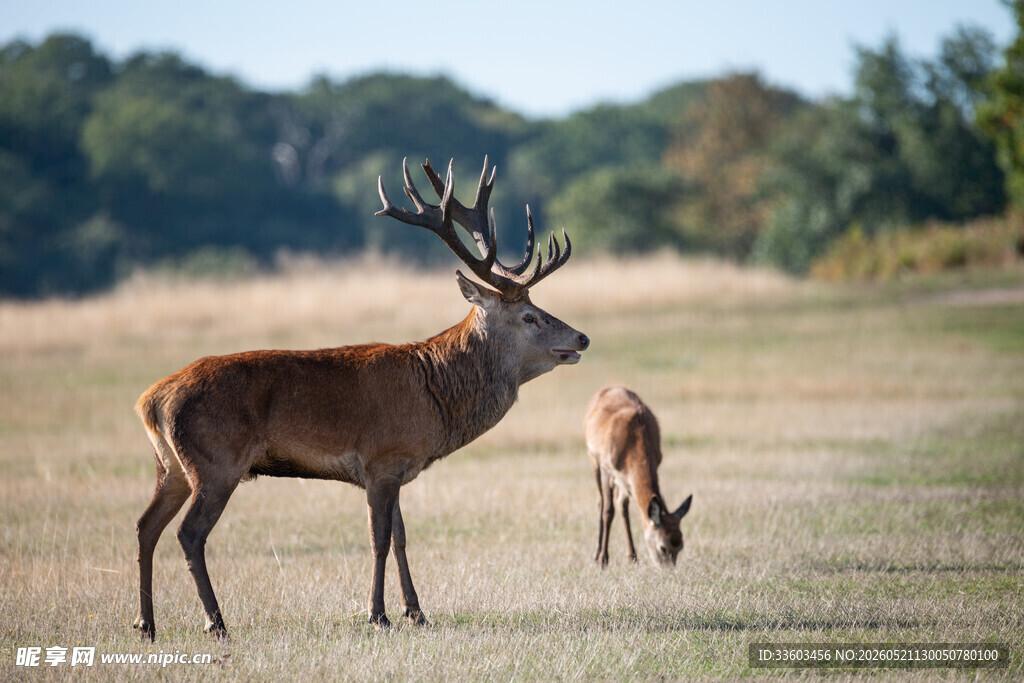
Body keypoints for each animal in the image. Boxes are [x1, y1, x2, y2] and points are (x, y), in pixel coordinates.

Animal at [131, 156, 590, 640]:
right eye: (529, 316)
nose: (581, 337)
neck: (435, 392)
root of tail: (150, 400)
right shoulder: (380, 459)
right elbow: (379, 538)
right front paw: (378, 614)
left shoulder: (398, 467)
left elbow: (402, 536)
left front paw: (417, 612)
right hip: (216, 462)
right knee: (188, 533)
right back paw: (215, 622)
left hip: (172, 465)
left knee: (145, 526)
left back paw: (146, 623)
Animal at [585, 386, 692, 567]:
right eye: (663, 547)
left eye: (681, 547)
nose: (669, 570)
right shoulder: (607, 467)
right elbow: (608, 510)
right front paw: (603, 560)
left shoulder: (631, 475)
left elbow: (622, 506)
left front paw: (632, 558)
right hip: (593, 458)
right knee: (600, 502)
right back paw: (597, 554)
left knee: (621, 506)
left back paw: (631, 555)